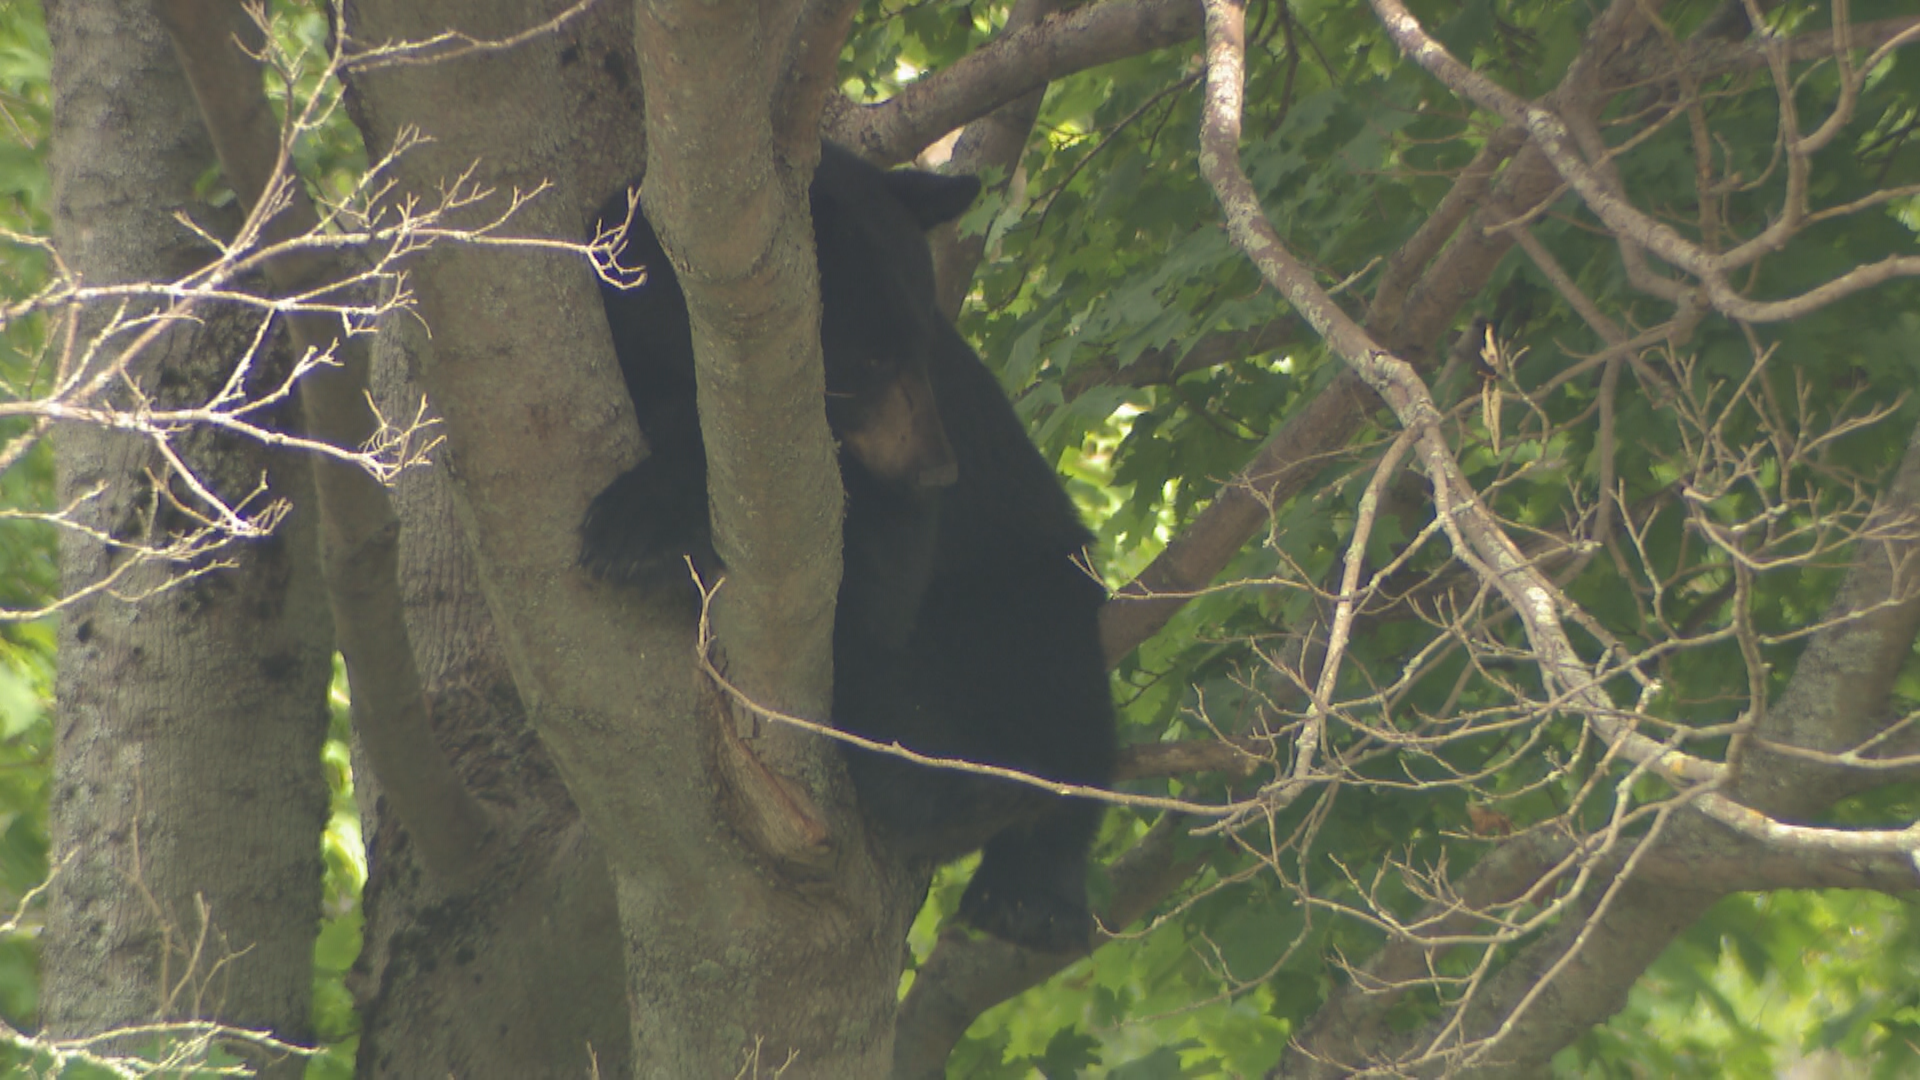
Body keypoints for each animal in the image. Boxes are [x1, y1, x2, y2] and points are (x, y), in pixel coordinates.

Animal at [581, 144, 1116, 954]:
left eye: (922, 339)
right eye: (865, 360)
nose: (938, 471)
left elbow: (870, 579)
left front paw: (637, 530)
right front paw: (637, 529)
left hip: (1020, 586)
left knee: (1057, 697)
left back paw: (1017, 877)